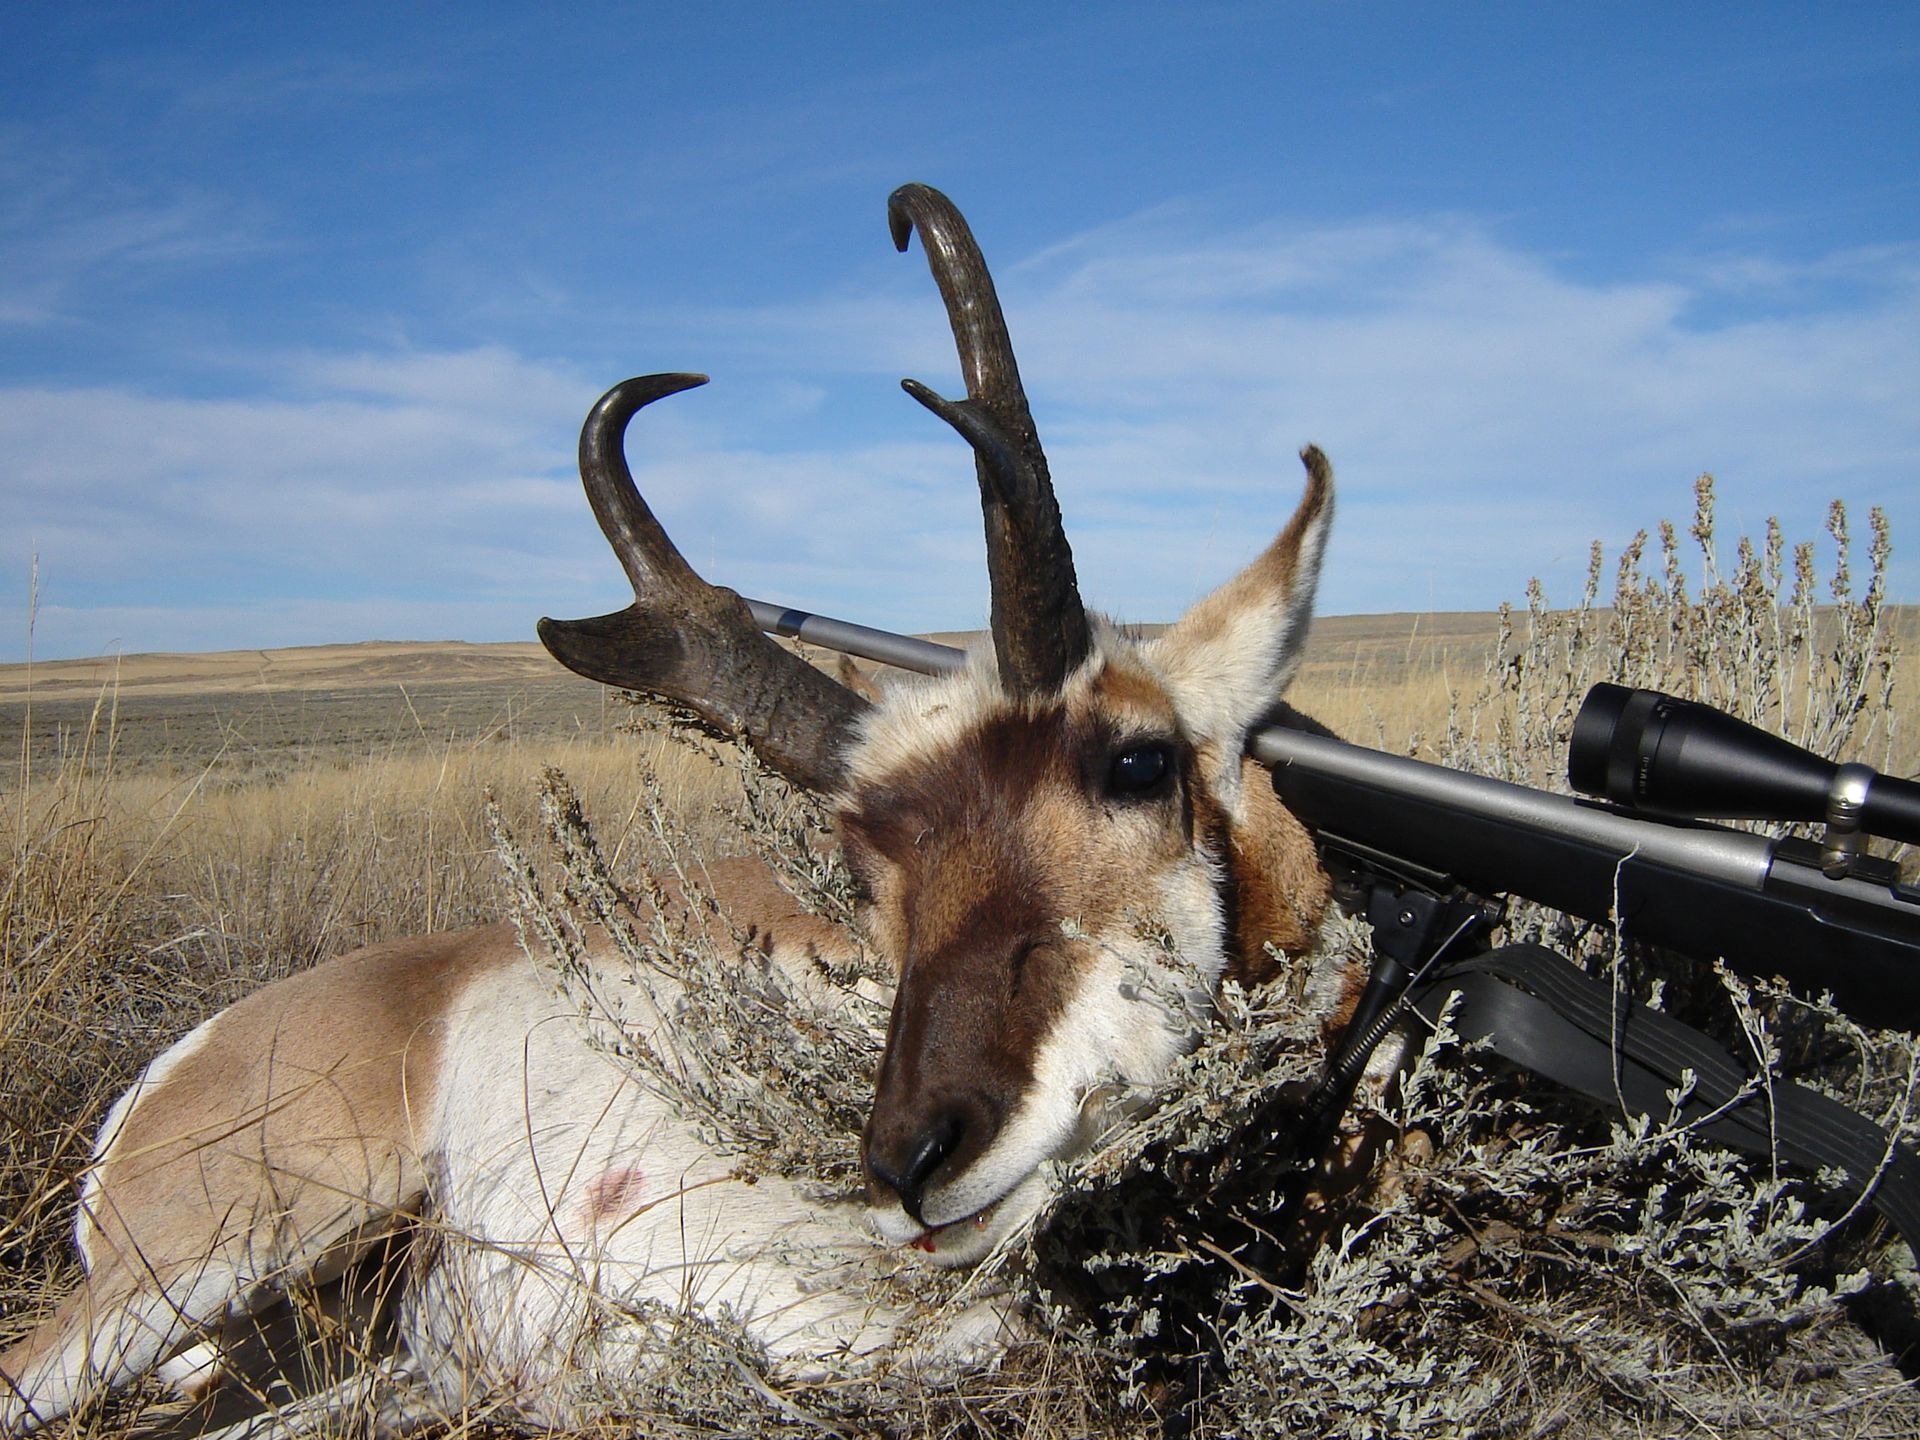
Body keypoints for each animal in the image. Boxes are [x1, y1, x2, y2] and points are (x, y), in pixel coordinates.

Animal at [0, 184, 1350, 1435]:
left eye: (1140, 762)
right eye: (859, 858)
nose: (911, 1162)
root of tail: (181, 1060)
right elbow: (993, 1338)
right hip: (218, 1255)